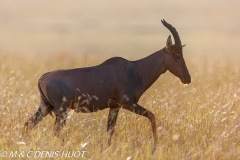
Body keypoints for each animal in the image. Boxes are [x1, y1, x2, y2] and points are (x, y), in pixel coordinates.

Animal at [23, 19, 190, 152]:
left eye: (182, 53)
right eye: (176, 54)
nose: (187, 78)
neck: (134, 69)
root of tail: (42, 78)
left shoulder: (114, 107)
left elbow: (110, 131)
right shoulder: (128, 104)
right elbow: (152, 116)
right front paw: (155, 147)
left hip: (46, 107)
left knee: (28, 124)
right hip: (61, 110)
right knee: (55, 131)